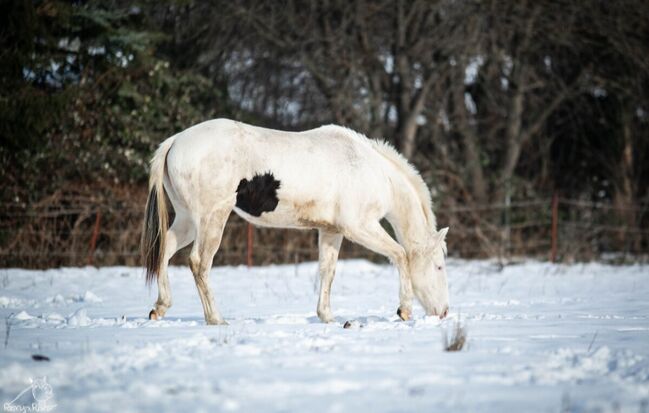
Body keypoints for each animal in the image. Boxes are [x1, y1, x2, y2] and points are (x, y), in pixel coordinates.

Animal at [139, 117, 448, 324]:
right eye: (439, 266)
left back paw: (160, 307)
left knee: (164, 252)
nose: (443, 312)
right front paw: (404, 310)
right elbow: (400, 255)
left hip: (188, 221)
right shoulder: (359, 228)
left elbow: (327, 272)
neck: (371, 169)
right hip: (212, 219)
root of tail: (175, 141)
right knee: (199, 263)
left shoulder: (332, 231)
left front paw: (326, 316)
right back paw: (216, 318)